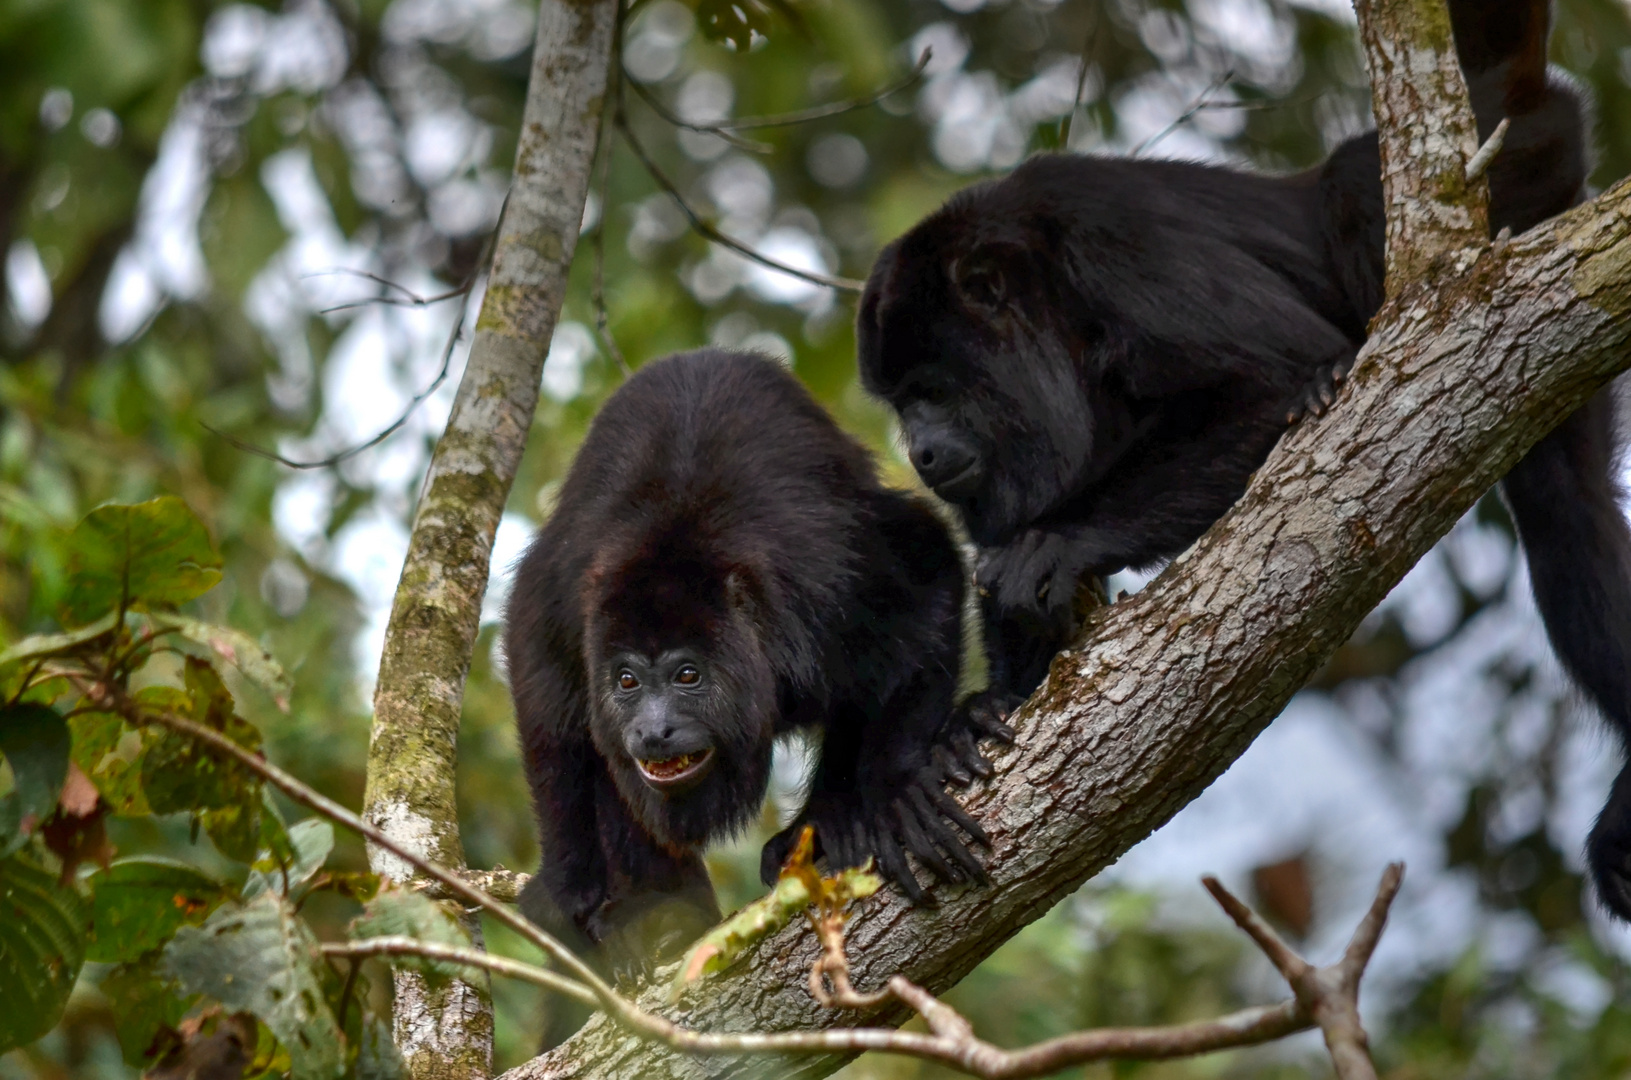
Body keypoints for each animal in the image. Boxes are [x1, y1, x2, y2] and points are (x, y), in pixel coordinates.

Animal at [861, 0, 1631, 920]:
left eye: (931, 390)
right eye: (899, 403)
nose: (919, 448)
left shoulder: (1112, 242)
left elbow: (1276, 376)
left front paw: (1054, 544)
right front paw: (969, 724)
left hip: (1517, 159)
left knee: (1350, 190)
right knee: (1569, 511)